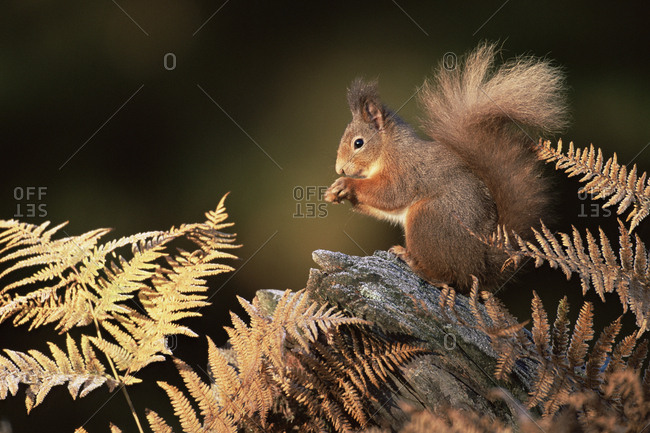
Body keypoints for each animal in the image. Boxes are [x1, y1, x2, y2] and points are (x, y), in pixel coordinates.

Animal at [324, 43, 568, 291]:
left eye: (358, 143)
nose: (339, 169)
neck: (388, 149)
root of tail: (478, 265)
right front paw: (333, 192)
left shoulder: (406, 170)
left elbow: (390, 194)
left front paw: (347, 184)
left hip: (429, 218)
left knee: (446, 276)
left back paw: (412, 261)